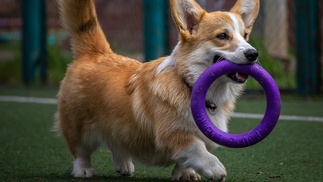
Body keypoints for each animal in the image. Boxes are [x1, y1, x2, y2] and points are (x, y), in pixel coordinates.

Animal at [53, 0, 260, 181]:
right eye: (222, 36)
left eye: (245, 35)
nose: (253, 54)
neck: (189, 84)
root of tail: (96, 53)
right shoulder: (172, 134)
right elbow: (197, 148)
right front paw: (215, 168)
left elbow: (187, 159)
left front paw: (185, 174)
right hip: (78, 125)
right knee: (79, 150)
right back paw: (84, 170)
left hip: (117, 125)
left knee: (116, 141)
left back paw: (123, 164)